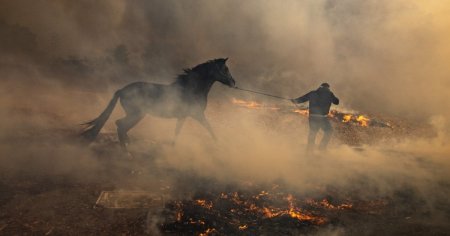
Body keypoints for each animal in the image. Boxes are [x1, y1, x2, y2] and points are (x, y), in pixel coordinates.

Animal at [82, 58, 236, 149]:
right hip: (136, 114)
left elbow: (177, 131)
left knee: (121, 126)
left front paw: (173, 147)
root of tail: (122, 90)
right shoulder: (197, 114)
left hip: (138, 115)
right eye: (225, 69)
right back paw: (127, 152)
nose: (233, 82)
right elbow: (209, 128)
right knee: (121, 125)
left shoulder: (183, 116)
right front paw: (218, 144)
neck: (191, 88)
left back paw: (129, 146)